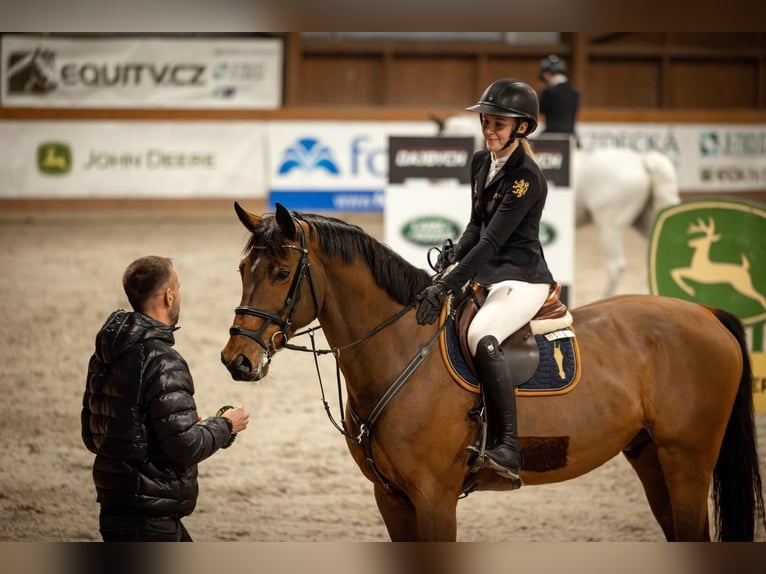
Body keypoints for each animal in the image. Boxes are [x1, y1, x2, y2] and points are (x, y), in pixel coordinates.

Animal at [222, 204, 766, 544]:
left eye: (280, 273)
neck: (401, 350)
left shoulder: (434, 498)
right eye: (243, 270)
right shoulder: (391, 498)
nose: (236, 360)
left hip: (688, 463)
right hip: (651, 457)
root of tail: (707, 313)